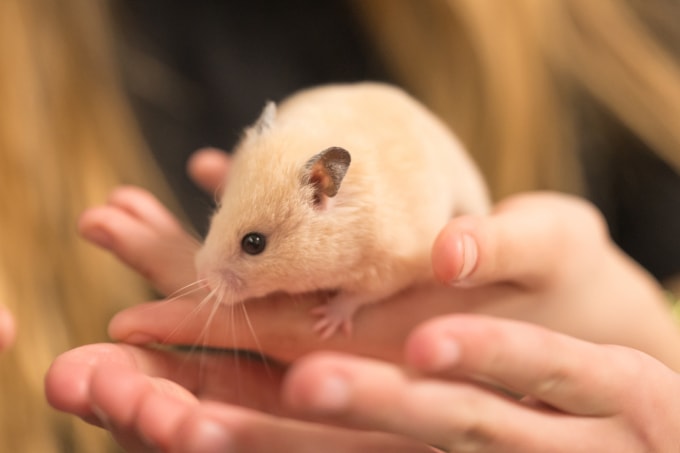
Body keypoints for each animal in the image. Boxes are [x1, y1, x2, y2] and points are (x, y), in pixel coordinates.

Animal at [195, 82, 489, 339]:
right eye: (219, 208)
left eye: (254, 243)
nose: (204, 280)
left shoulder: (392, 268)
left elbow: (359, 296)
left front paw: (325, 322)